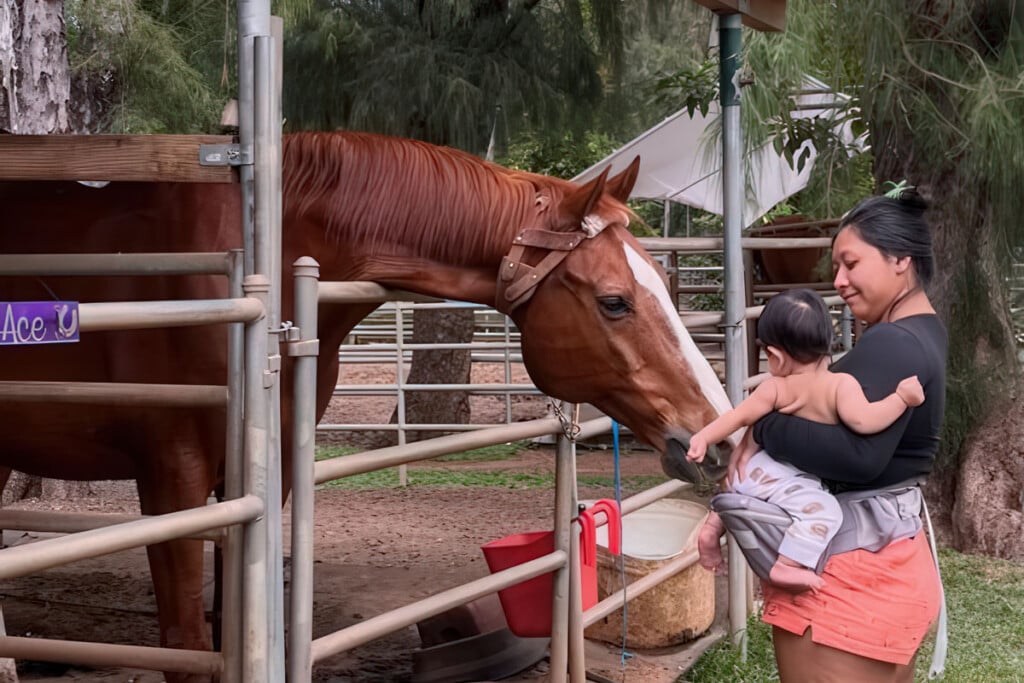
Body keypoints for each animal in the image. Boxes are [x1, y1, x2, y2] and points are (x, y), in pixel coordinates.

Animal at [0, 130, 735, 682]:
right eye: (615, 301)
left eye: (662, 280)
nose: (718, 439)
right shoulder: (170, 479)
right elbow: (184, 643)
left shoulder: (256, 487)